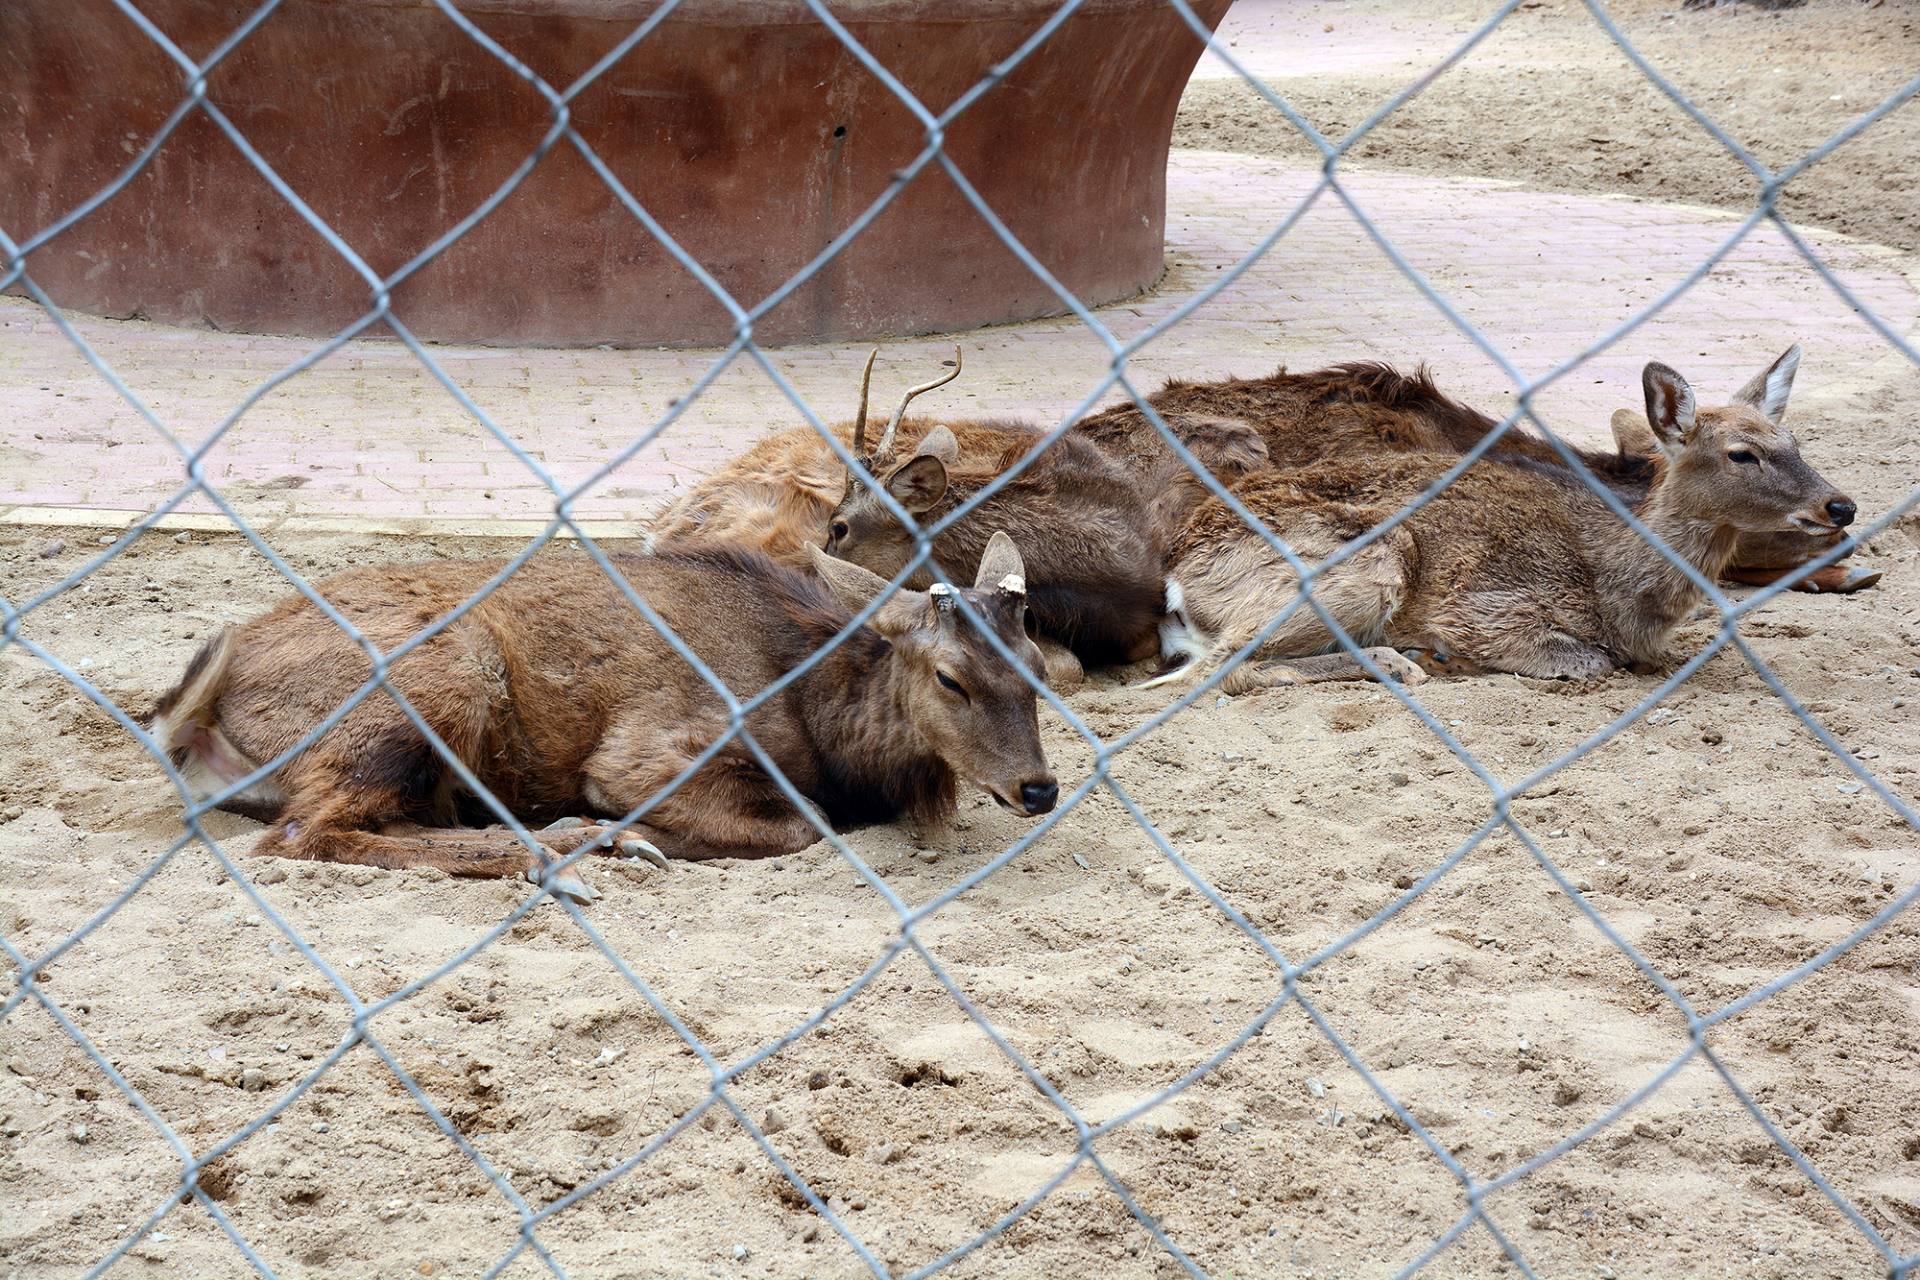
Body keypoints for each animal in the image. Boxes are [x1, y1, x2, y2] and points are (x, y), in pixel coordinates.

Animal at [149, 529, 1059, 901]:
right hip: (442, 677)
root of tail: (190, 723)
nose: (1039, 788)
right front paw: (634, 833)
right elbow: (802, 825)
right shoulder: (649, 752)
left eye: (1039, 669)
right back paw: (576, 849)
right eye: (950, 679)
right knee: (305, 832)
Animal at [1152, 355, 1858, 694]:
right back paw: (1400, 661)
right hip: (1370, 556)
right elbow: (1587, 660)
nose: (1841, 506)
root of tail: (1177, 584)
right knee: (1223, 667)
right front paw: (1442, 652)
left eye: (1795, 440)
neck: (1622, 594)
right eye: (1741, 453)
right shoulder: (1487, 604)